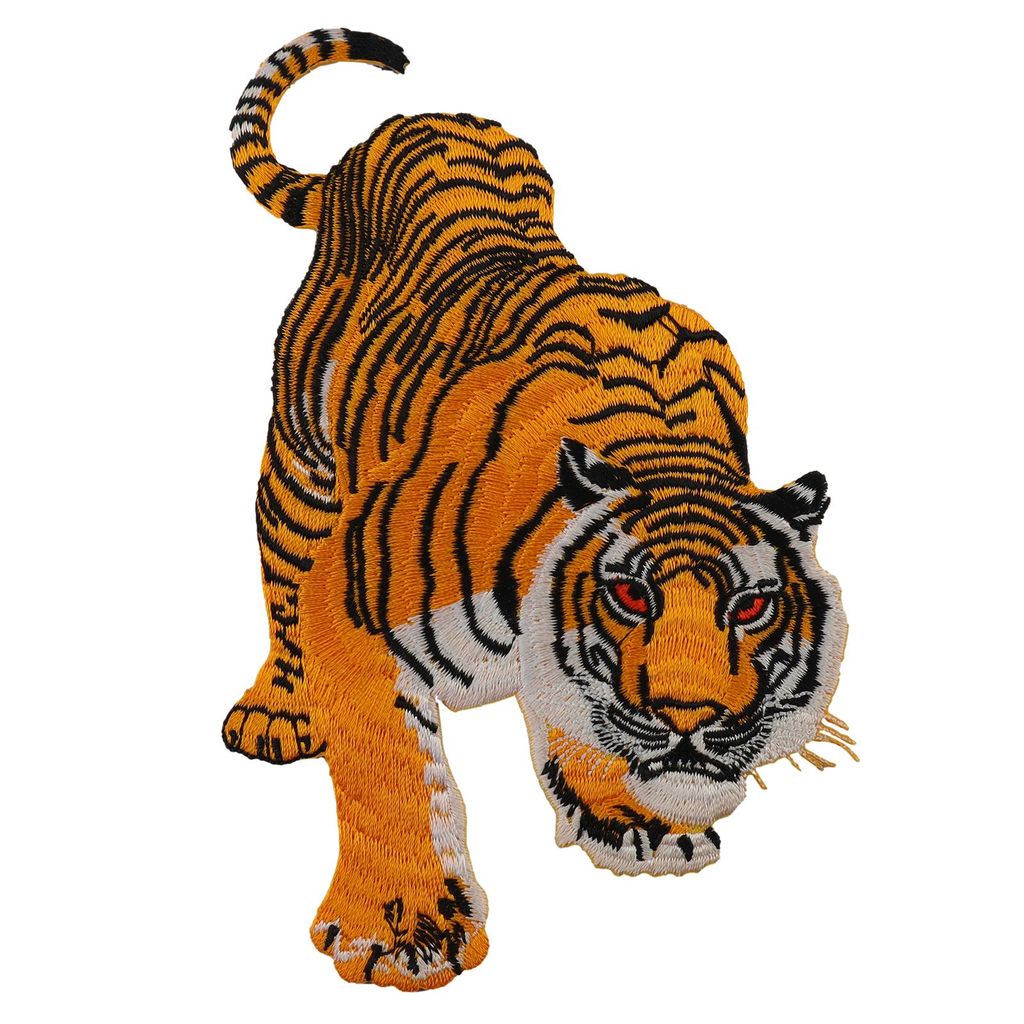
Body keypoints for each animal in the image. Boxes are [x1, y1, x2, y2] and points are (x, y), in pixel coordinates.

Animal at [223, 28, 851, 991]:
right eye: (630, 596)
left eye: (751, 608)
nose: (693, 719)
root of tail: (414, 117)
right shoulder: (352, 591)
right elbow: (392, 763)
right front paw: (400, 930)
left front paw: (633, 817)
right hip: (302, 460)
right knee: (282, 578)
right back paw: (281, 711)